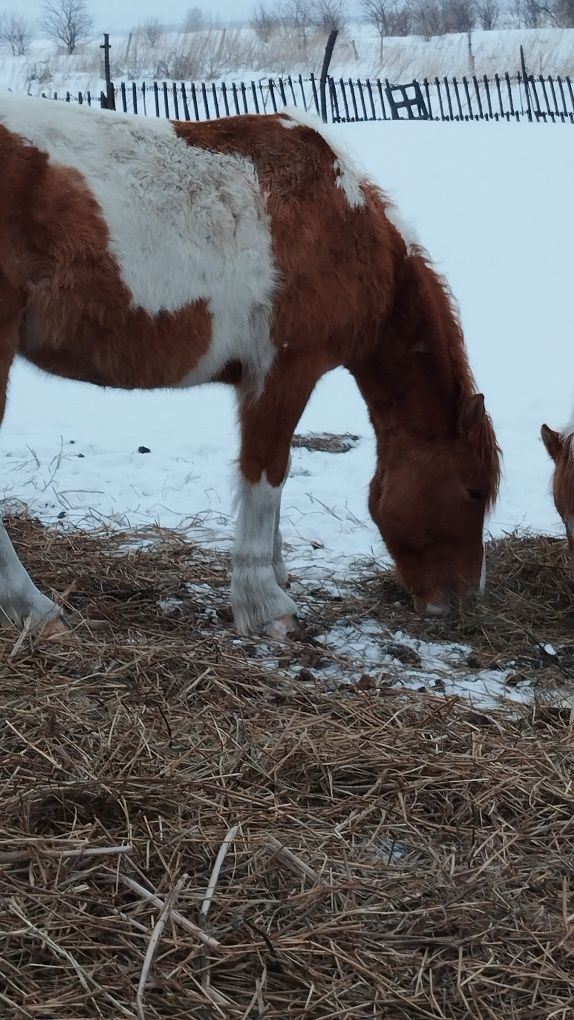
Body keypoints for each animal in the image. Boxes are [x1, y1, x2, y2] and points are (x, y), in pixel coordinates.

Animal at [0, 97, 501, 636]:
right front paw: (265, 604)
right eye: (473, 491)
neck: (345, 224)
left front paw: (277, 573)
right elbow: (266, 474)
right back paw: (35, 610)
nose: (462, 598)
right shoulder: (283, 371)